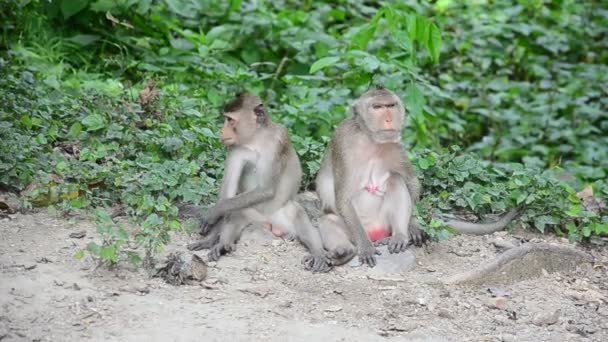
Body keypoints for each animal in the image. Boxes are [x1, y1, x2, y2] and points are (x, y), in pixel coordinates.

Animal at [186, 92, 332, 274]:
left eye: (230, 120)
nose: (221, 129)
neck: (255, 139)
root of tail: (272, 224)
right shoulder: (235, 148)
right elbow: (227, 196)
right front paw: (213, 227)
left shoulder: (277, 140)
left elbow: (266, 189)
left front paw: (213, 212)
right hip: (254, 217)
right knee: (237, 211)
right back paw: (221, 243)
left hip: (285, 214)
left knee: (299, 215)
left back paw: (318, 253)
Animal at [316, 87, 520, 268]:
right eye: (377, 107)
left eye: (391, 105)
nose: (389, 119)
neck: (370, 139)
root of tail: (376, 233)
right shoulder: (343, 144)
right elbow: (343, 198)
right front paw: (365, 247)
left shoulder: (396, 145)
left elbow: (411, 181)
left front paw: (414, 224)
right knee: (327, 221)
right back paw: (344, 251)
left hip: (385, 223)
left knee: (396, 180)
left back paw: (399, 235)